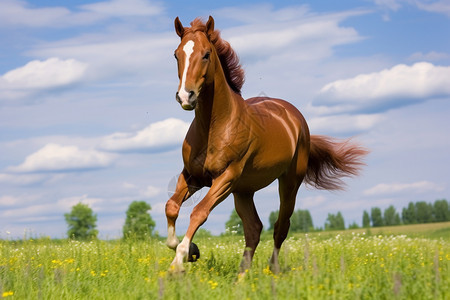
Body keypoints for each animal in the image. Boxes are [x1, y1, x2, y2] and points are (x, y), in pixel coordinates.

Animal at [165, 15, 370, 274]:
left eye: (206, 54)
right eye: (176, 54)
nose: (186, 96)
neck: (214, 127)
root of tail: (294, 117)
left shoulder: (225, 177)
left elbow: (199, 212)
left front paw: (179, 261)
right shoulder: (193, 176)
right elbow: (171, 206)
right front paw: (191, 251)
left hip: (288, 183)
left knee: (280, 226)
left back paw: (272, 270)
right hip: (244, 191)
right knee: (254, 228)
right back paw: (242, 276)